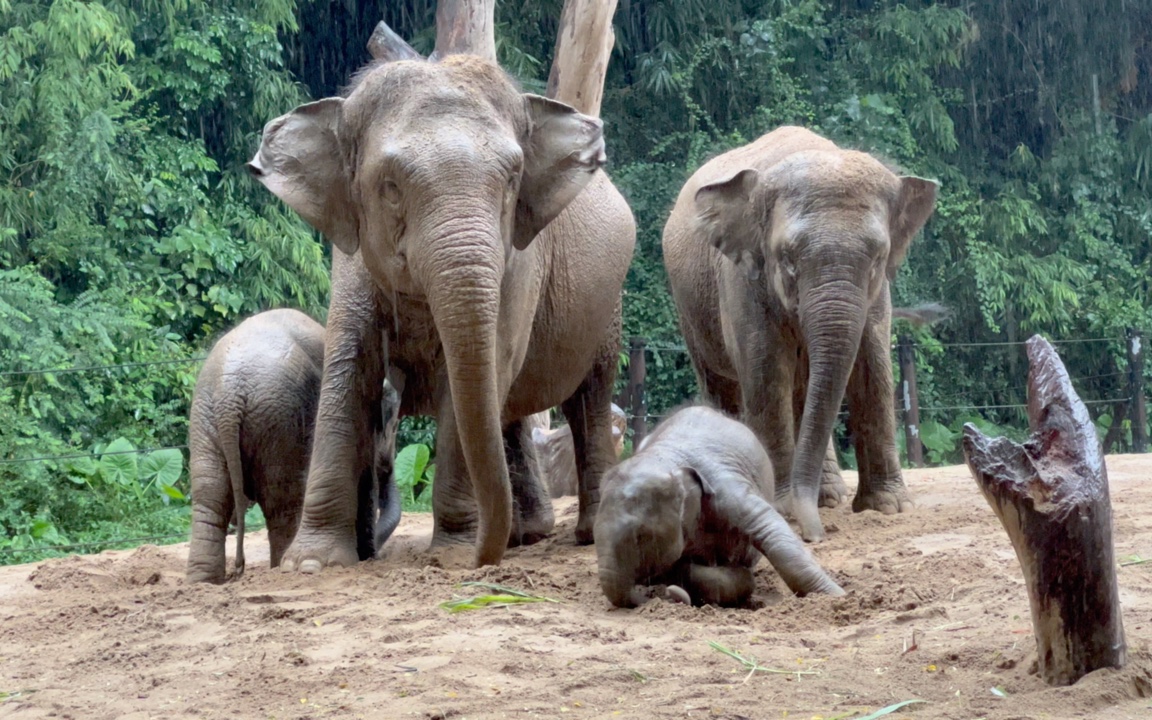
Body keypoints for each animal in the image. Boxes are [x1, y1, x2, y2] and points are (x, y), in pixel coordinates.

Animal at [246, 53, 635, 569]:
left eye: (512, 181)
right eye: (390, 187)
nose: (481, 559)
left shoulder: (519, 264)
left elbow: (476, 372)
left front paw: (453, 555)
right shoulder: (351, 260)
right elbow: (347, 372)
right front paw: (311, 564)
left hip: (608, 307)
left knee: (587, 397)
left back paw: (581, 534)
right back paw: (523, 533)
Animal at [599, 407, 843, 603]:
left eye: (641, 537)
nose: (657, 596)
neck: (667, 458)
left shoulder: (728, 491)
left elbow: (774, 533)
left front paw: (838, 596)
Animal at [663, 124, 940, 539]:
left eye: (878, 259)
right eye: (788, 260)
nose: (815, 534)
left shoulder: (878, 295)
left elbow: (872, 365)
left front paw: (888, 507)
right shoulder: (743, 278)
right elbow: (767, 371)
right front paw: (780, 509)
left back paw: (827, 497)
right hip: (689, 309)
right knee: (724, 386)